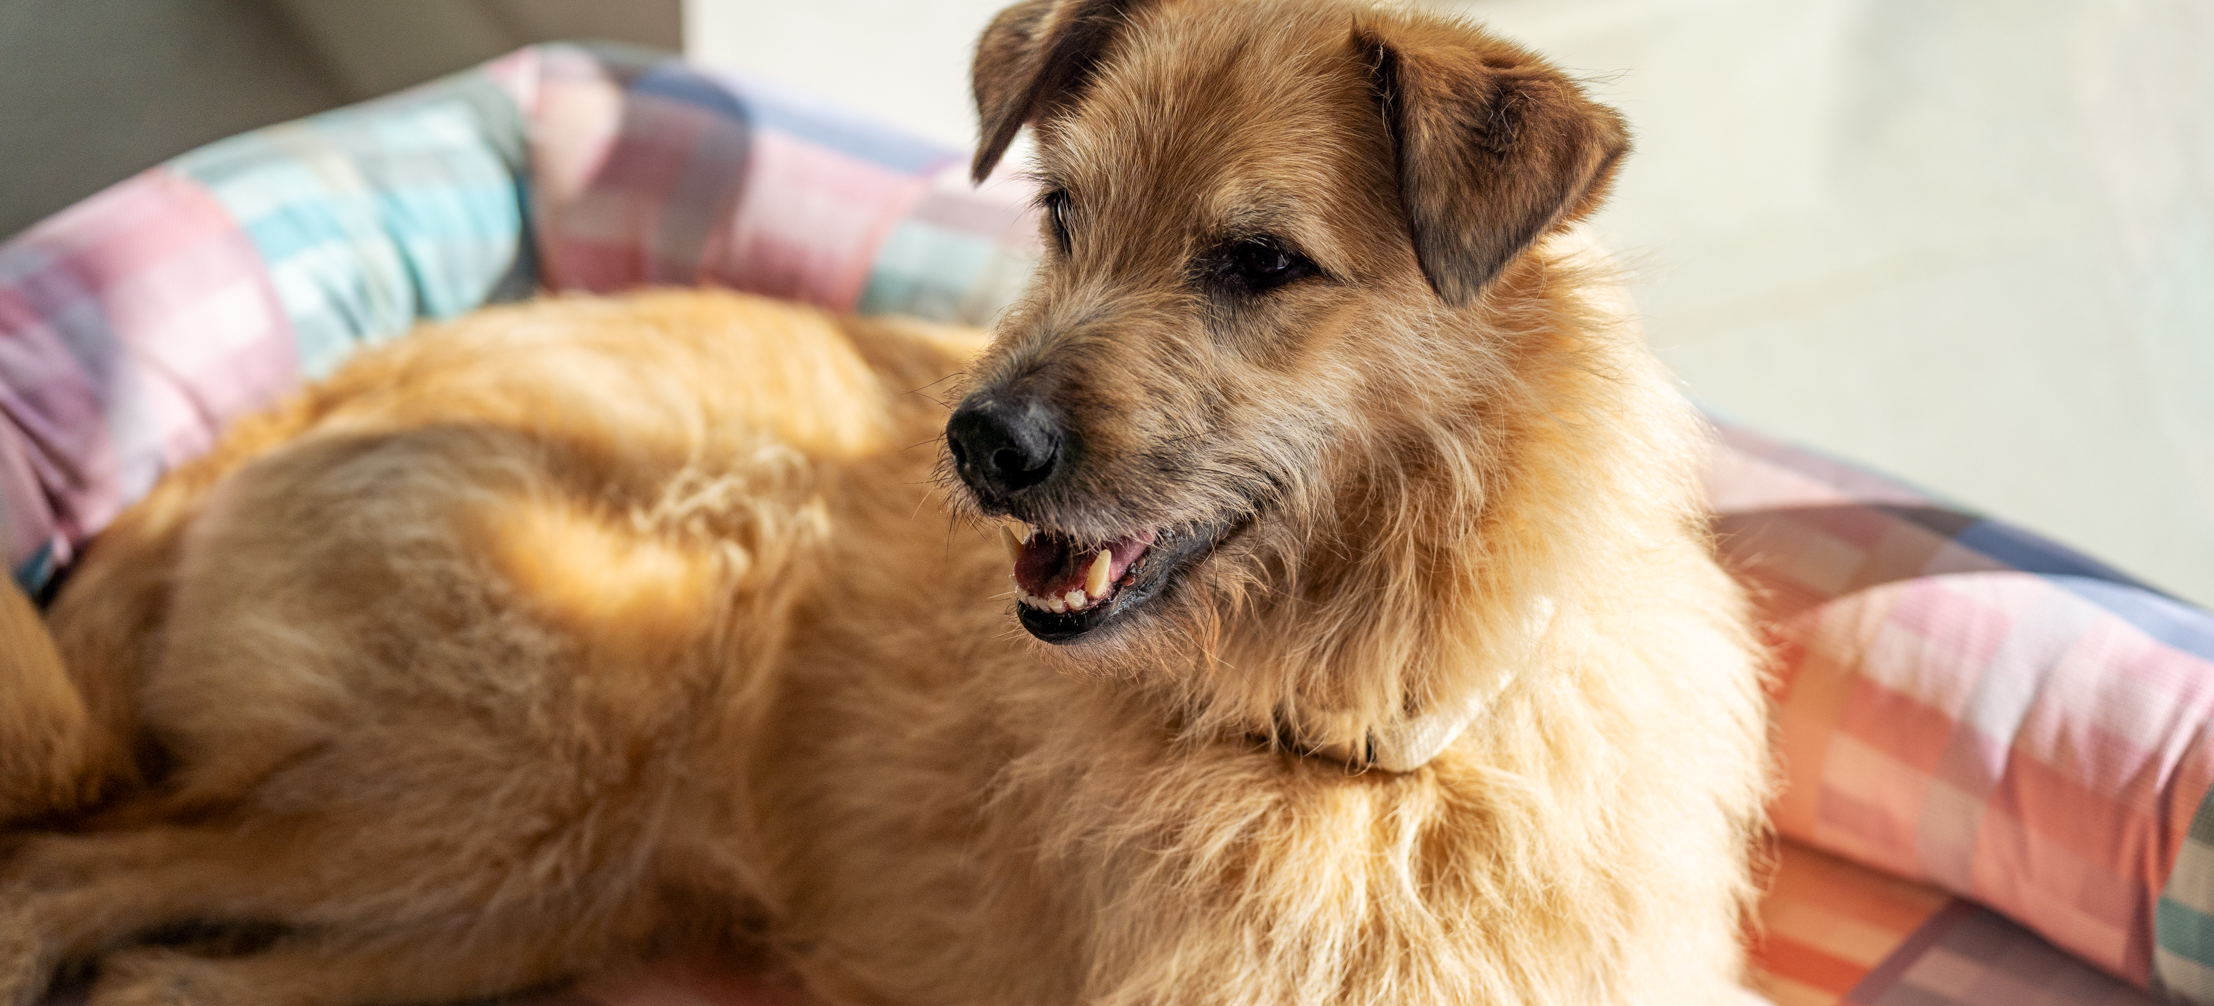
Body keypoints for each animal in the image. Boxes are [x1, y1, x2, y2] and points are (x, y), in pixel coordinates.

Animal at [0, 0, 1762, 1001]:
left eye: (1259, 261)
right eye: (1059, 213)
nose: (979, 443)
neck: (1353, 749)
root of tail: (283, 412)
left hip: (511, 898)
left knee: (156, 972)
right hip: (508, 762)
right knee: (55, 880)